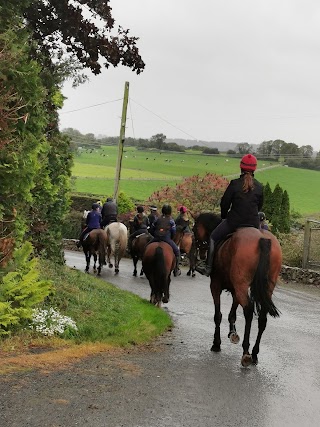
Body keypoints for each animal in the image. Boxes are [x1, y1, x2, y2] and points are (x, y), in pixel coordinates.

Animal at [191, 214, 282, 368]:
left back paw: (246, 353)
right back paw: (255, 354)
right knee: (262, 318)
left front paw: (216, 343)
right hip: (264, 287)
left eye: (194, 229)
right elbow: (232, 313)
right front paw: (232, 333)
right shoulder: (235, 288)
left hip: (241, 285)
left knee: (248, 312)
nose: (201, 254)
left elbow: (218, 315)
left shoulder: (215, 285)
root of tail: (262, 238)